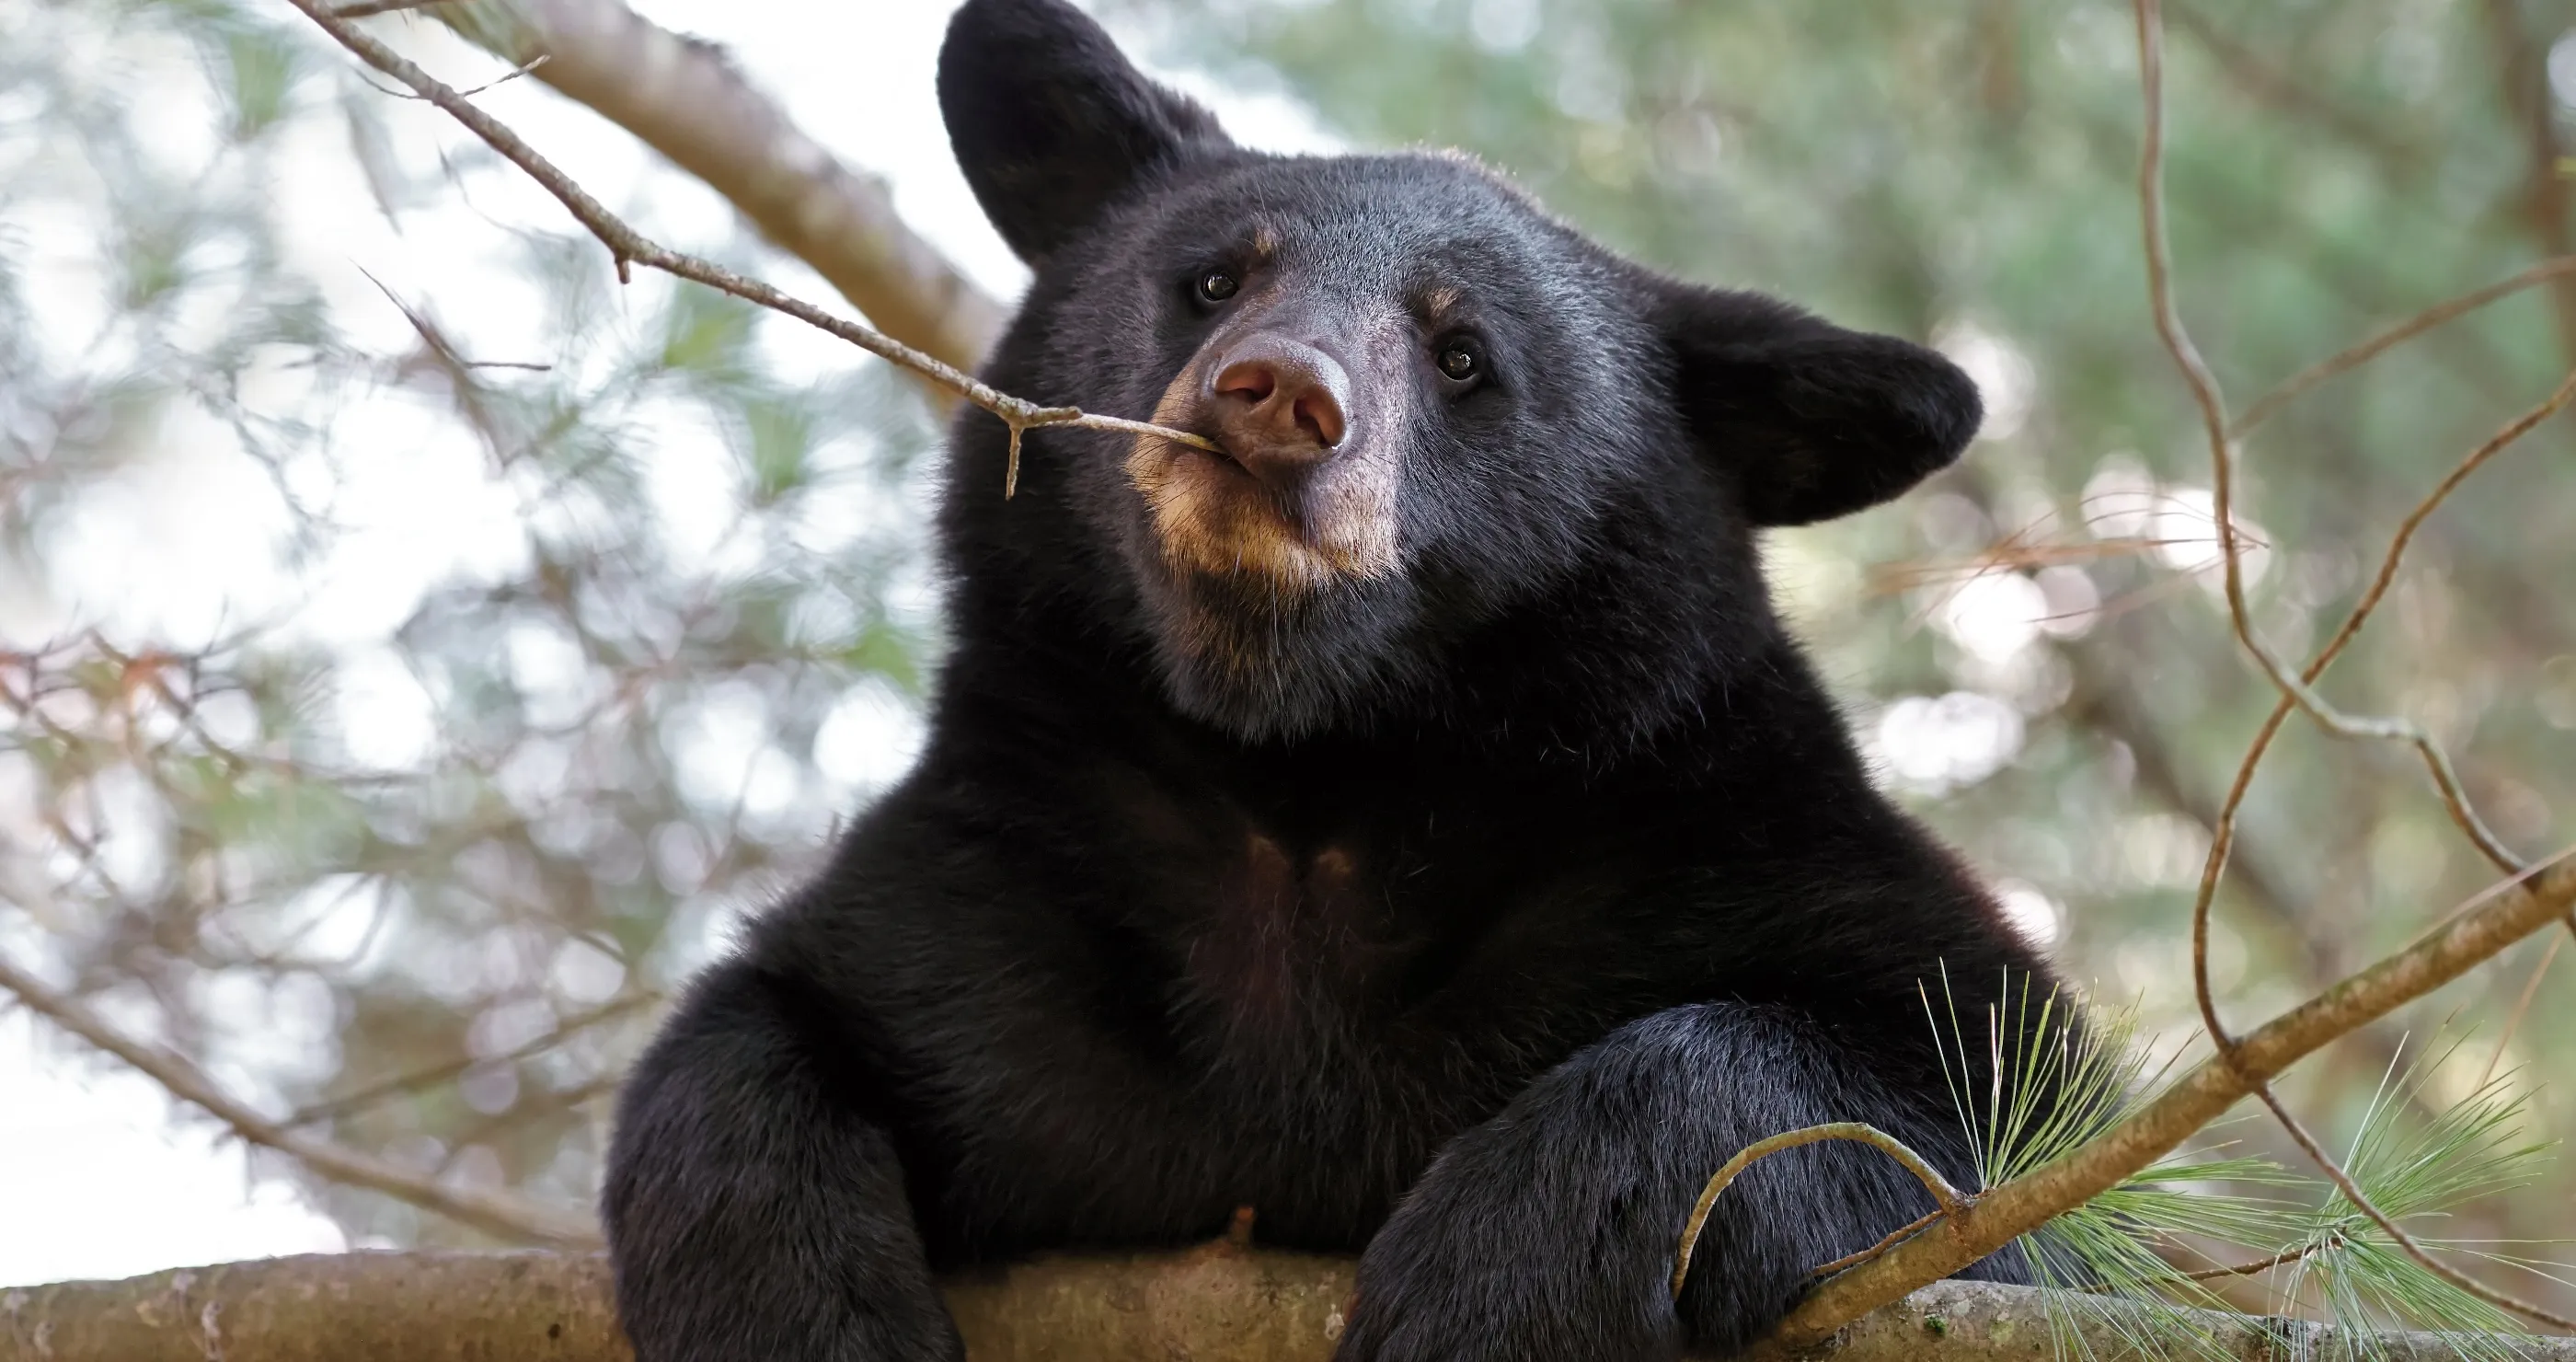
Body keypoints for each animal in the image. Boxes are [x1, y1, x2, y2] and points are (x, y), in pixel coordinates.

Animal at [600, 0, 2059, 1358]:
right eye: (1212, 279)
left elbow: (1967, 1109)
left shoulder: (1707, 831)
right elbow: (761, 1023)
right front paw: (801, 1314)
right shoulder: (996, 889)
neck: (1306, 768)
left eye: (1462, 353)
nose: (1275, 393)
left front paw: (1495, 1286)